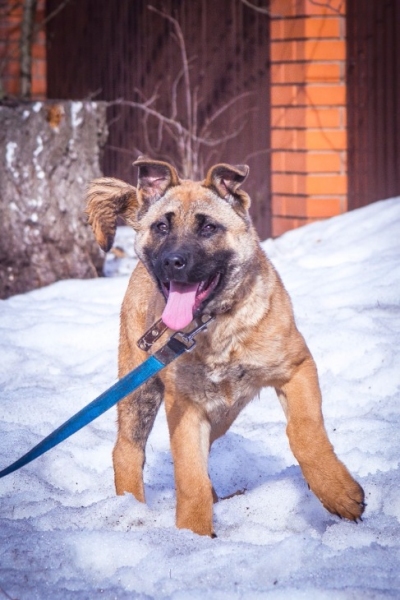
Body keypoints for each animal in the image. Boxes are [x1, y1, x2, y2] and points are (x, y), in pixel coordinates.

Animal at [85, 157, 365, 537]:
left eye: (208, 228)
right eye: (161, 227)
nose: (172, 261)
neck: (215, 325)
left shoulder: (297, 369)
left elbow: (304, 432)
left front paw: (337, 492)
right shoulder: (185, 406)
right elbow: (190, 477)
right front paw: (194, 536)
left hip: (222, 413)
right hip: (140, 388)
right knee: (126, 449)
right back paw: (131, 508)